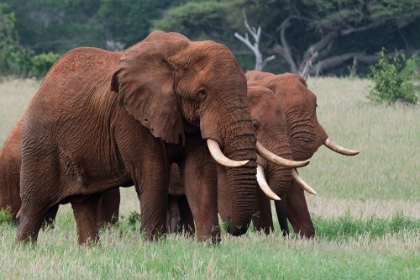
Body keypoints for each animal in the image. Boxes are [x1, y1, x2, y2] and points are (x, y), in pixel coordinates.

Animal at [16, 31, 260, 245]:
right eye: (202, 93)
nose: (231, 227)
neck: (182, 51)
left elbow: (198, 174)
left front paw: (209, 246)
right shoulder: (130, 117)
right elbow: (152, 172)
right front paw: (154, 246)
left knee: (85, 202)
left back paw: (91, 249)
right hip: (40, 141)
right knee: (34, 205)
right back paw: (25, 248)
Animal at [244, 71, 360, 237]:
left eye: (316, 105)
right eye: (255, 125)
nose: (285, 234)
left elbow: (294, 185)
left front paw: (307, 237)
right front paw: (267, 236)